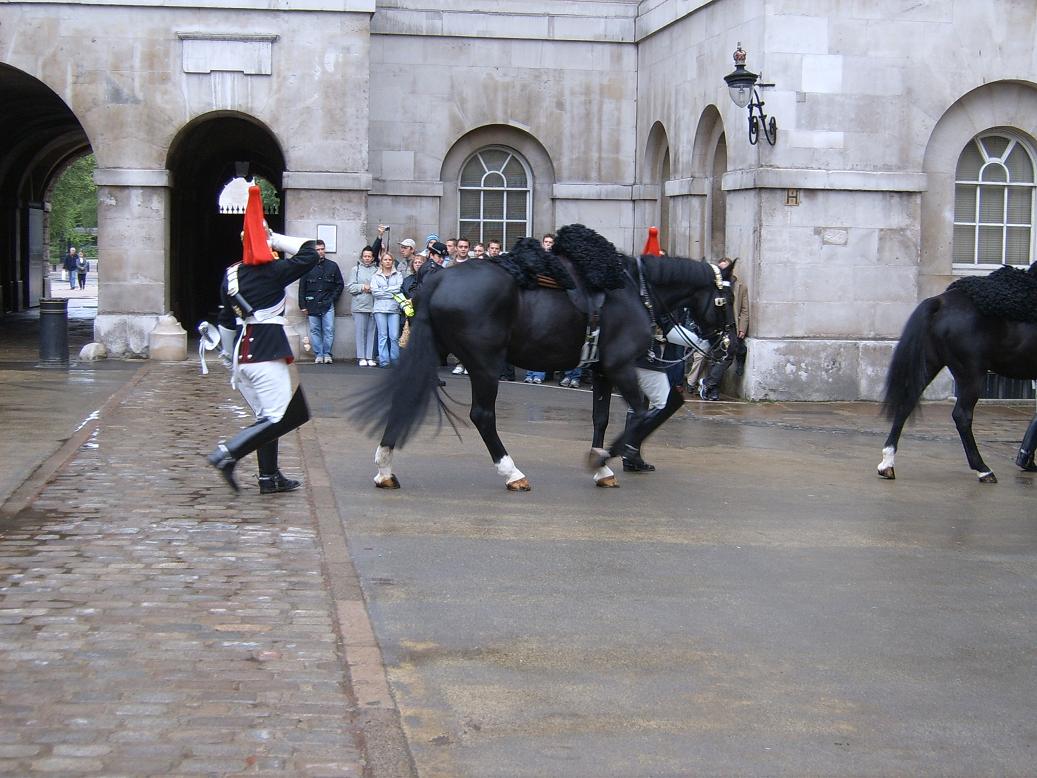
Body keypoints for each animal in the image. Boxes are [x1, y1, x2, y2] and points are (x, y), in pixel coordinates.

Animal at [356, 228, 738, 489]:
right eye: (726, 300)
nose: (731, 346)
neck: (637, 290)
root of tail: (437, 280)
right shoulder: (621, 366)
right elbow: (641, 411)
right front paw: (607, 456)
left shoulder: (606, 369)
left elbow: (608, 416)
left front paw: (609, 463)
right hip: (485, 363)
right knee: (482, 416)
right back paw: (511, 472)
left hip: (436, 353)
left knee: (405, 397)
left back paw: (385, 467)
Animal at [875, 267, 1037, 487]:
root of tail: (941, 301)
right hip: (971, 372)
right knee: (962, 415)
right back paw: (983, 469)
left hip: (931, 362)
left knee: (906, 403)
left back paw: (887, 462)